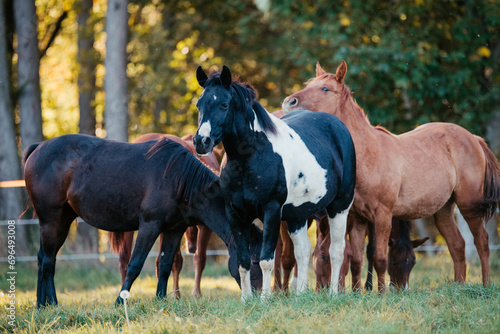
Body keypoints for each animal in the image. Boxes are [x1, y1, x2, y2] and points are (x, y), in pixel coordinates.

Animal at [191, 65, 356, 300]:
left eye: (224, 104)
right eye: (199, 104)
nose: (201, 142)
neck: (250, 157)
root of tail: (338, 126)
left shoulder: (271, 210)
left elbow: (266, 259)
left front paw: (264, 299)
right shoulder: (235, 213)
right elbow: (243, 261)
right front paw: (246, 299)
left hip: (340, 207)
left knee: (336, 250)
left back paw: (333, 293)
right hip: (298, 214)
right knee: (303, 250)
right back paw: (300, 295)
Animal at [284, 61, 498, 290]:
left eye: (325, 89)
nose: (289, 102)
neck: (370, 153)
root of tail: (474, 138)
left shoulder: (383, 216)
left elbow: (379, 258)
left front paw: (381, 293)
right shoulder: (358, 219)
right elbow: (357, 259)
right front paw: (359, 293)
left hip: (469, 206)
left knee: (482, 242)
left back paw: (486, 284)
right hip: (443, 211)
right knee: (457, 245)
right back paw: (458, 287)